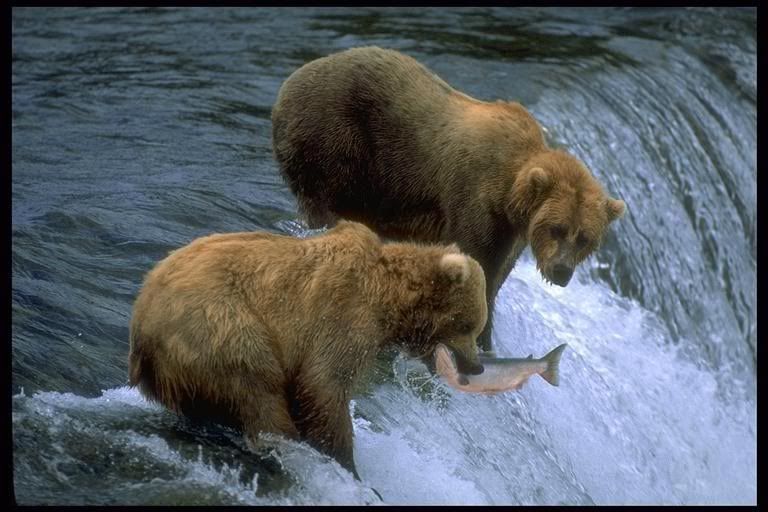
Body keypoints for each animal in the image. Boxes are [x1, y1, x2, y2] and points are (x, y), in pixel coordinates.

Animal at [128, 220, 487, 480]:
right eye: (468, 325)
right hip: (220, 326)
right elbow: (323, 385)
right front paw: (345, 461)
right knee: (259, 390)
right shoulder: (340, 314)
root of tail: (141, 319)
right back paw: (285, 443)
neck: (388, 301)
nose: (476, 366)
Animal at [271, 46, 626, 353]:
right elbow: (478, 263)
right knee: (326, 197)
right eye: (557, 228)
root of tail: (291, 80)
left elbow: (496, 277)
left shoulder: (512, 234)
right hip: (335, 138)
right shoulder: (475, 200)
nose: (562, 271)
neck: (509, 195)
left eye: (585, 238)